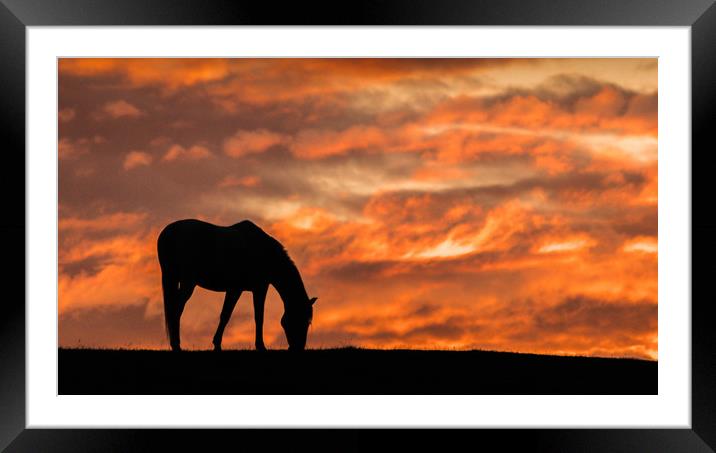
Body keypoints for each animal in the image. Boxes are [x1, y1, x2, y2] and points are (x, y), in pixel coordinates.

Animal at [158, 217, 318, 352]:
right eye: (301, 319)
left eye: (308, 322)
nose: (298, 348)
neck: (264, 253)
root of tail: (168, 233)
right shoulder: (256, 288)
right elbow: (257, 317)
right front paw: (260, 346)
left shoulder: (238, 289)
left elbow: (226, 315)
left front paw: (217, 344)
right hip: (188, 282)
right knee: (176, 309)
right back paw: (176, 345)